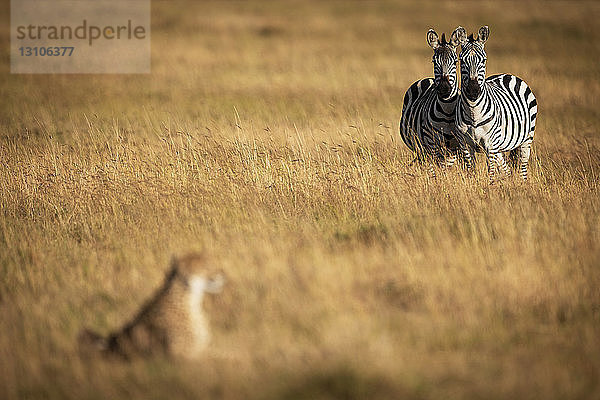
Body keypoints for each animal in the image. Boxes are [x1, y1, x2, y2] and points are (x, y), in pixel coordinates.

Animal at [400, 26, 466, 173]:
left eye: (455, 62)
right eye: (434, 62)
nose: (444, 89)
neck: (448, 112)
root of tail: (427, 79)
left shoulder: (459, 145)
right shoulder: (432, 144)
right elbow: (435, 170)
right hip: (421, 147)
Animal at [454, 25, 540, 180]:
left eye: (483, 60)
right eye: (461, 61)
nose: (473, 91)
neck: (473, 112)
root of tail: (508, 75)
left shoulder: (490, 144)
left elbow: (491, 173)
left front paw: (490, 185)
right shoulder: (465, 144)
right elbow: (471, 171)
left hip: (527, 138)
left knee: (523, 168)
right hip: (499, 145)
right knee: (507, 170)